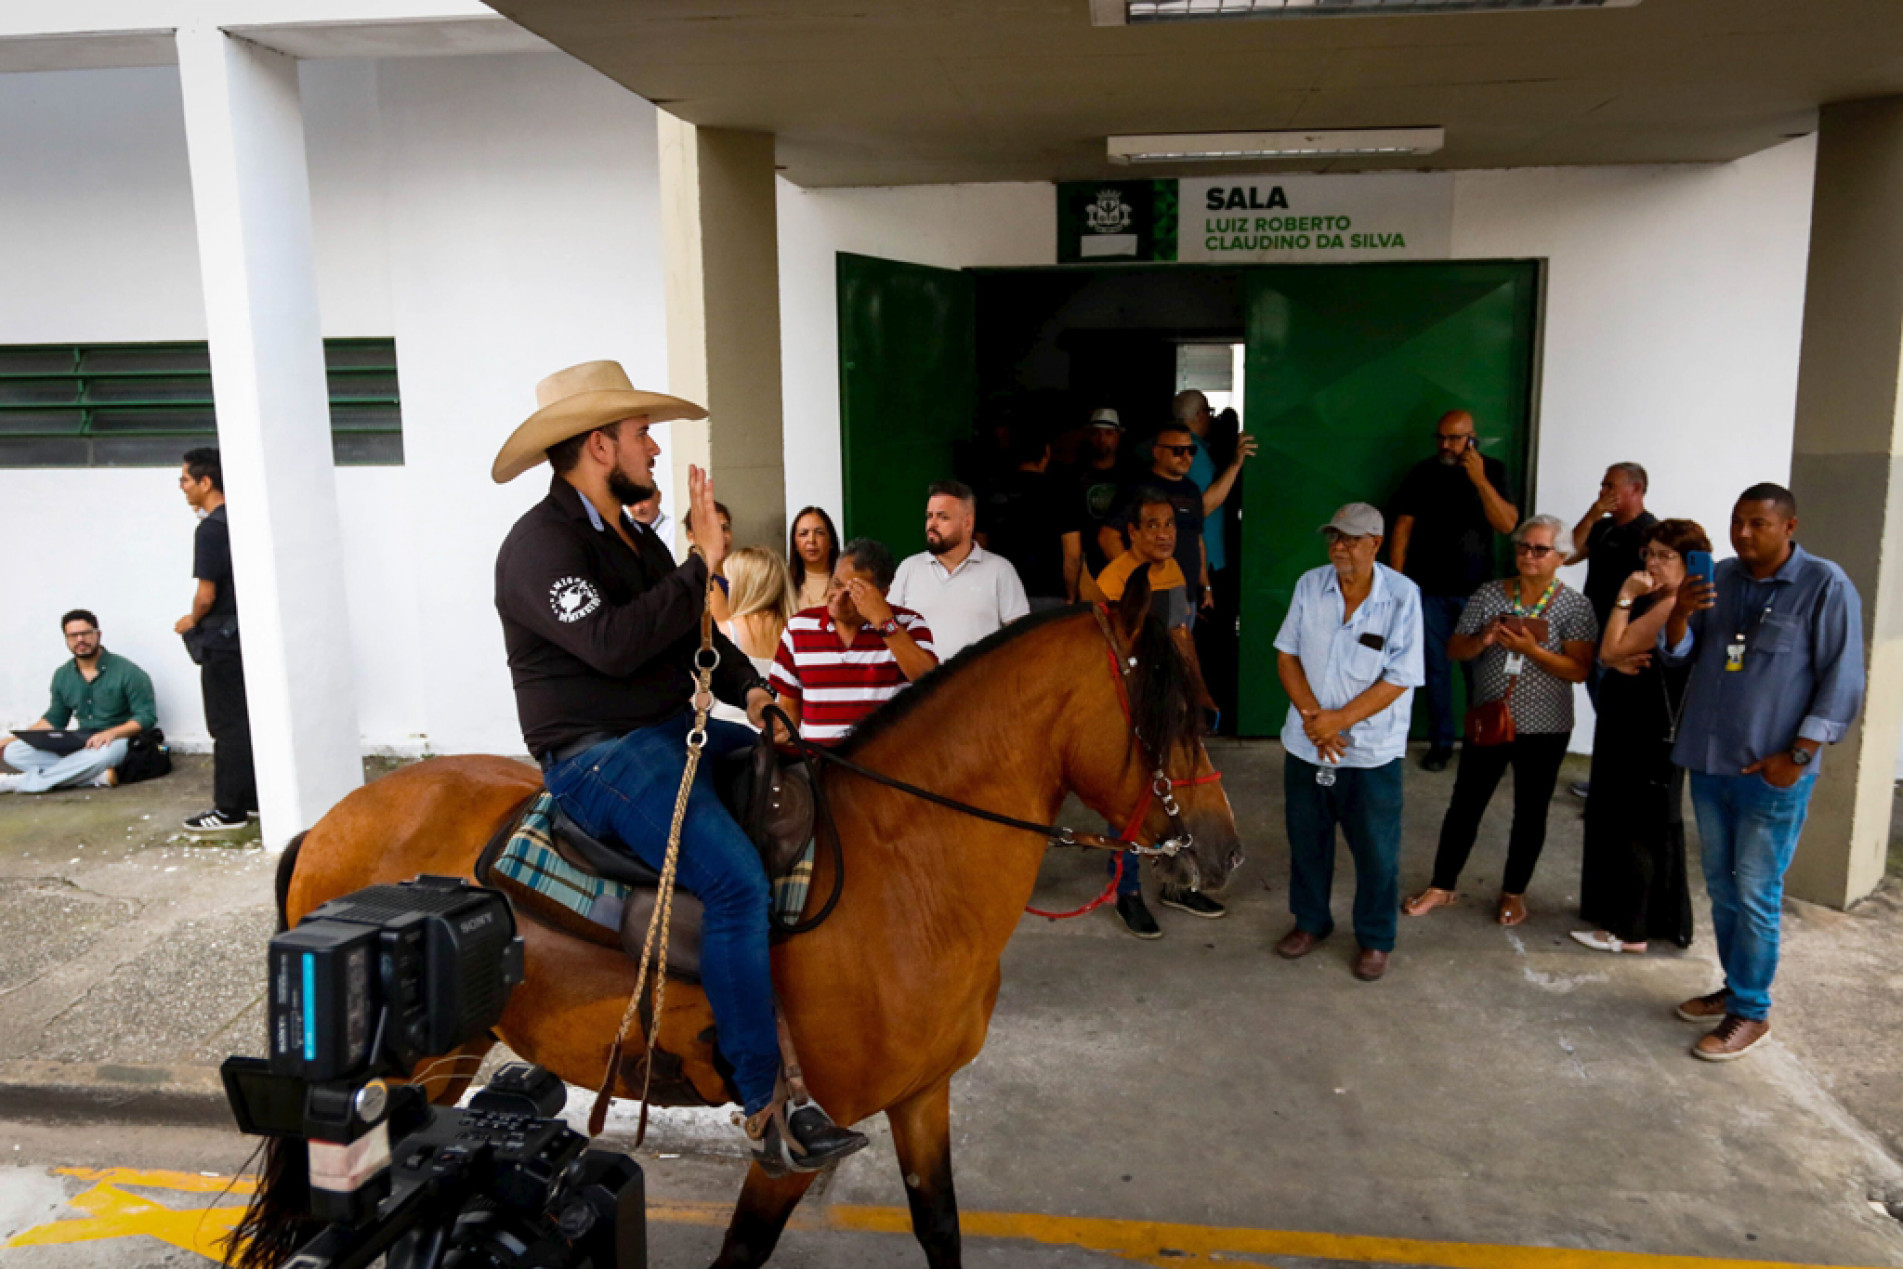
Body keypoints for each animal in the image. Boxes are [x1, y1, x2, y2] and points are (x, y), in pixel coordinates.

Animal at [245, 597, 1240, 1269]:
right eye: (1171, 715)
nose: (1222, 848)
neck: (904, 870)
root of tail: (327, 823)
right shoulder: (795, 1142)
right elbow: (741, 1251)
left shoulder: (923, 1097)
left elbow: (940, 1228)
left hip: (445, 1057)